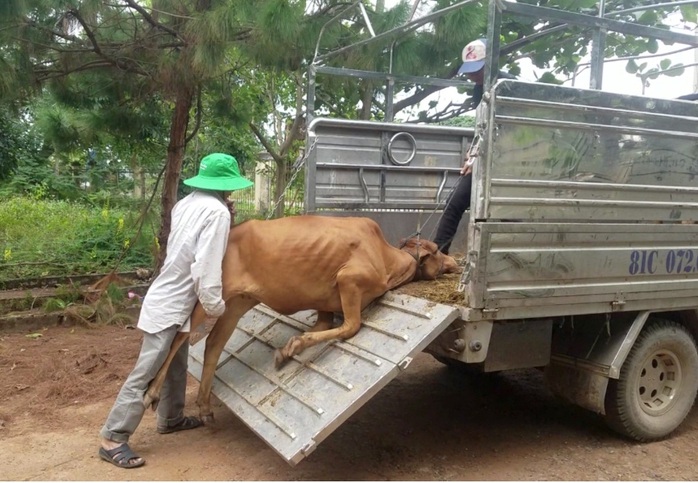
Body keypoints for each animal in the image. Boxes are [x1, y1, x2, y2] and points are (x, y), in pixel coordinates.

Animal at [143, 216, 456, 424]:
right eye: (438, 251)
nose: (454, 261)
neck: (386, 259)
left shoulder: (325, 305)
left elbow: (324, 326)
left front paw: (289, 348)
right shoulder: (349, 280)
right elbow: (350, 327)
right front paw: (291, 347)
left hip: (236, 304)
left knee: (213, 345)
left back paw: (205, 406)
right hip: (208, 297)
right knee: (180, 337)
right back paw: (151, 394)